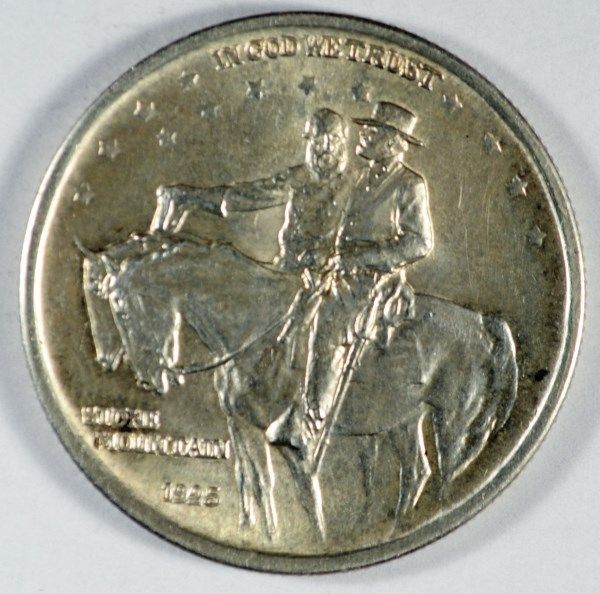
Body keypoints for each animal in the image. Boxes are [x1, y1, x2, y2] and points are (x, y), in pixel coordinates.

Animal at [80, 232, 518, 539]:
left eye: (118, 307)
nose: (144, 375)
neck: (257, 331)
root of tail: (485, 324)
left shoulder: (293, 441)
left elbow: (306, 498)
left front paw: (313, 538)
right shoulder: (243, 428)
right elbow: (255, 482)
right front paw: (261, 534)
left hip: (452, 423)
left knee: (446, 474)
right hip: (401, 422)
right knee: (416, 472)